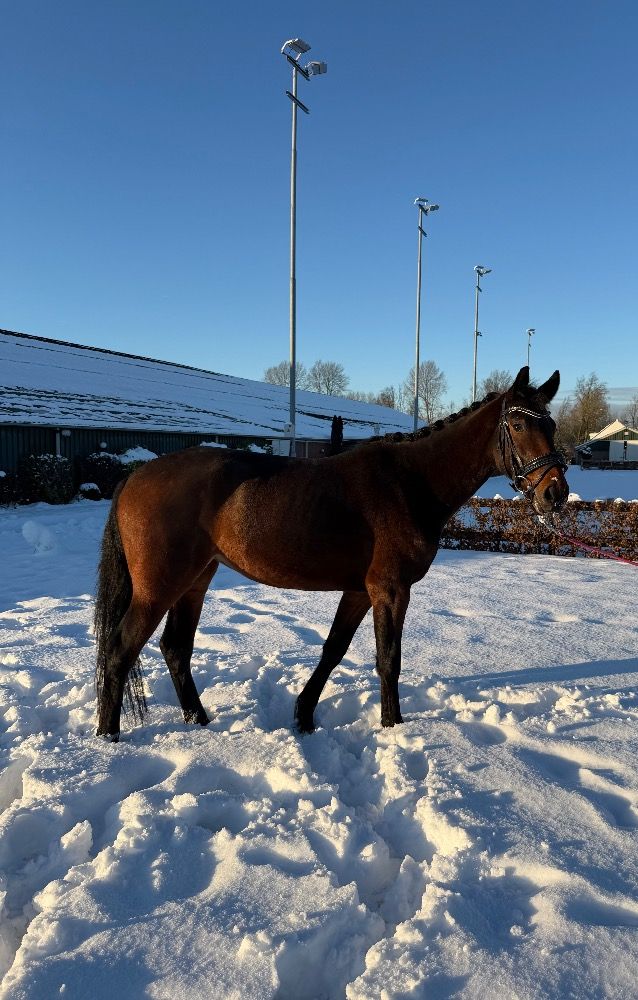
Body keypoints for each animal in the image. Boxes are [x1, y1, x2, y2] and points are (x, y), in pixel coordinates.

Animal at [94, 366, 568, 741]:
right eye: (519, 426)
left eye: (552, 426)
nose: (556, 493)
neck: (410, 482)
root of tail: (135, 476)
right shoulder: (390, 590)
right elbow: (388, 660)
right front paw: (393, 726)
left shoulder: (360, 591)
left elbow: (333, 650)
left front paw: (304, 715)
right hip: (159, 586)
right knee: (120, 649)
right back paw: (108, 738)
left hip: (196, 580)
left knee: (175, 647)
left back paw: (198, 719)